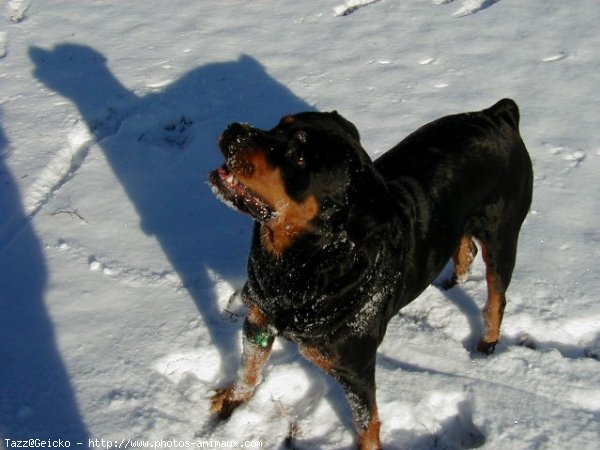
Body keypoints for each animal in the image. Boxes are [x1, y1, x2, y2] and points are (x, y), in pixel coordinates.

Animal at [209, 99, 532, 450]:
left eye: (299, 157)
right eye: (280, 124)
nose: (234, 129)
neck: (298, 268)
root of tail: (497, 115)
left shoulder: (356, 368)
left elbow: (366, 422)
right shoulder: (258, 319)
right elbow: (248, 369)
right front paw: (232, 402)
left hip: (502, 236)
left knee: (496, 296)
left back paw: (488, 343)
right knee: (465, 247)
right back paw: (449, 284)